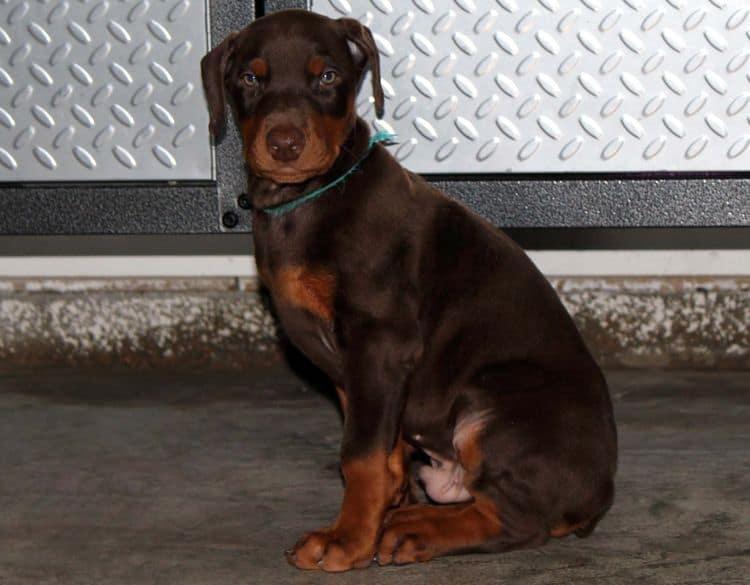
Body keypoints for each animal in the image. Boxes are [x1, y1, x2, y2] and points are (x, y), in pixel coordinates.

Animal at [203, 8, 620, 572]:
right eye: (250, 78)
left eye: (327, 76)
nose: (284, 144)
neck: (309, 198)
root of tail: (598, 495)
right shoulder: (357, 367)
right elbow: (384, 450)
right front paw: (380, 510)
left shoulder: (381, 339)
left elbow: (359, 453)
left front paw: (347, 539)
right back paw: (410, 517)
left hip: (491, 409)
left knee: (518, 522)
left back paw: (419, 531)